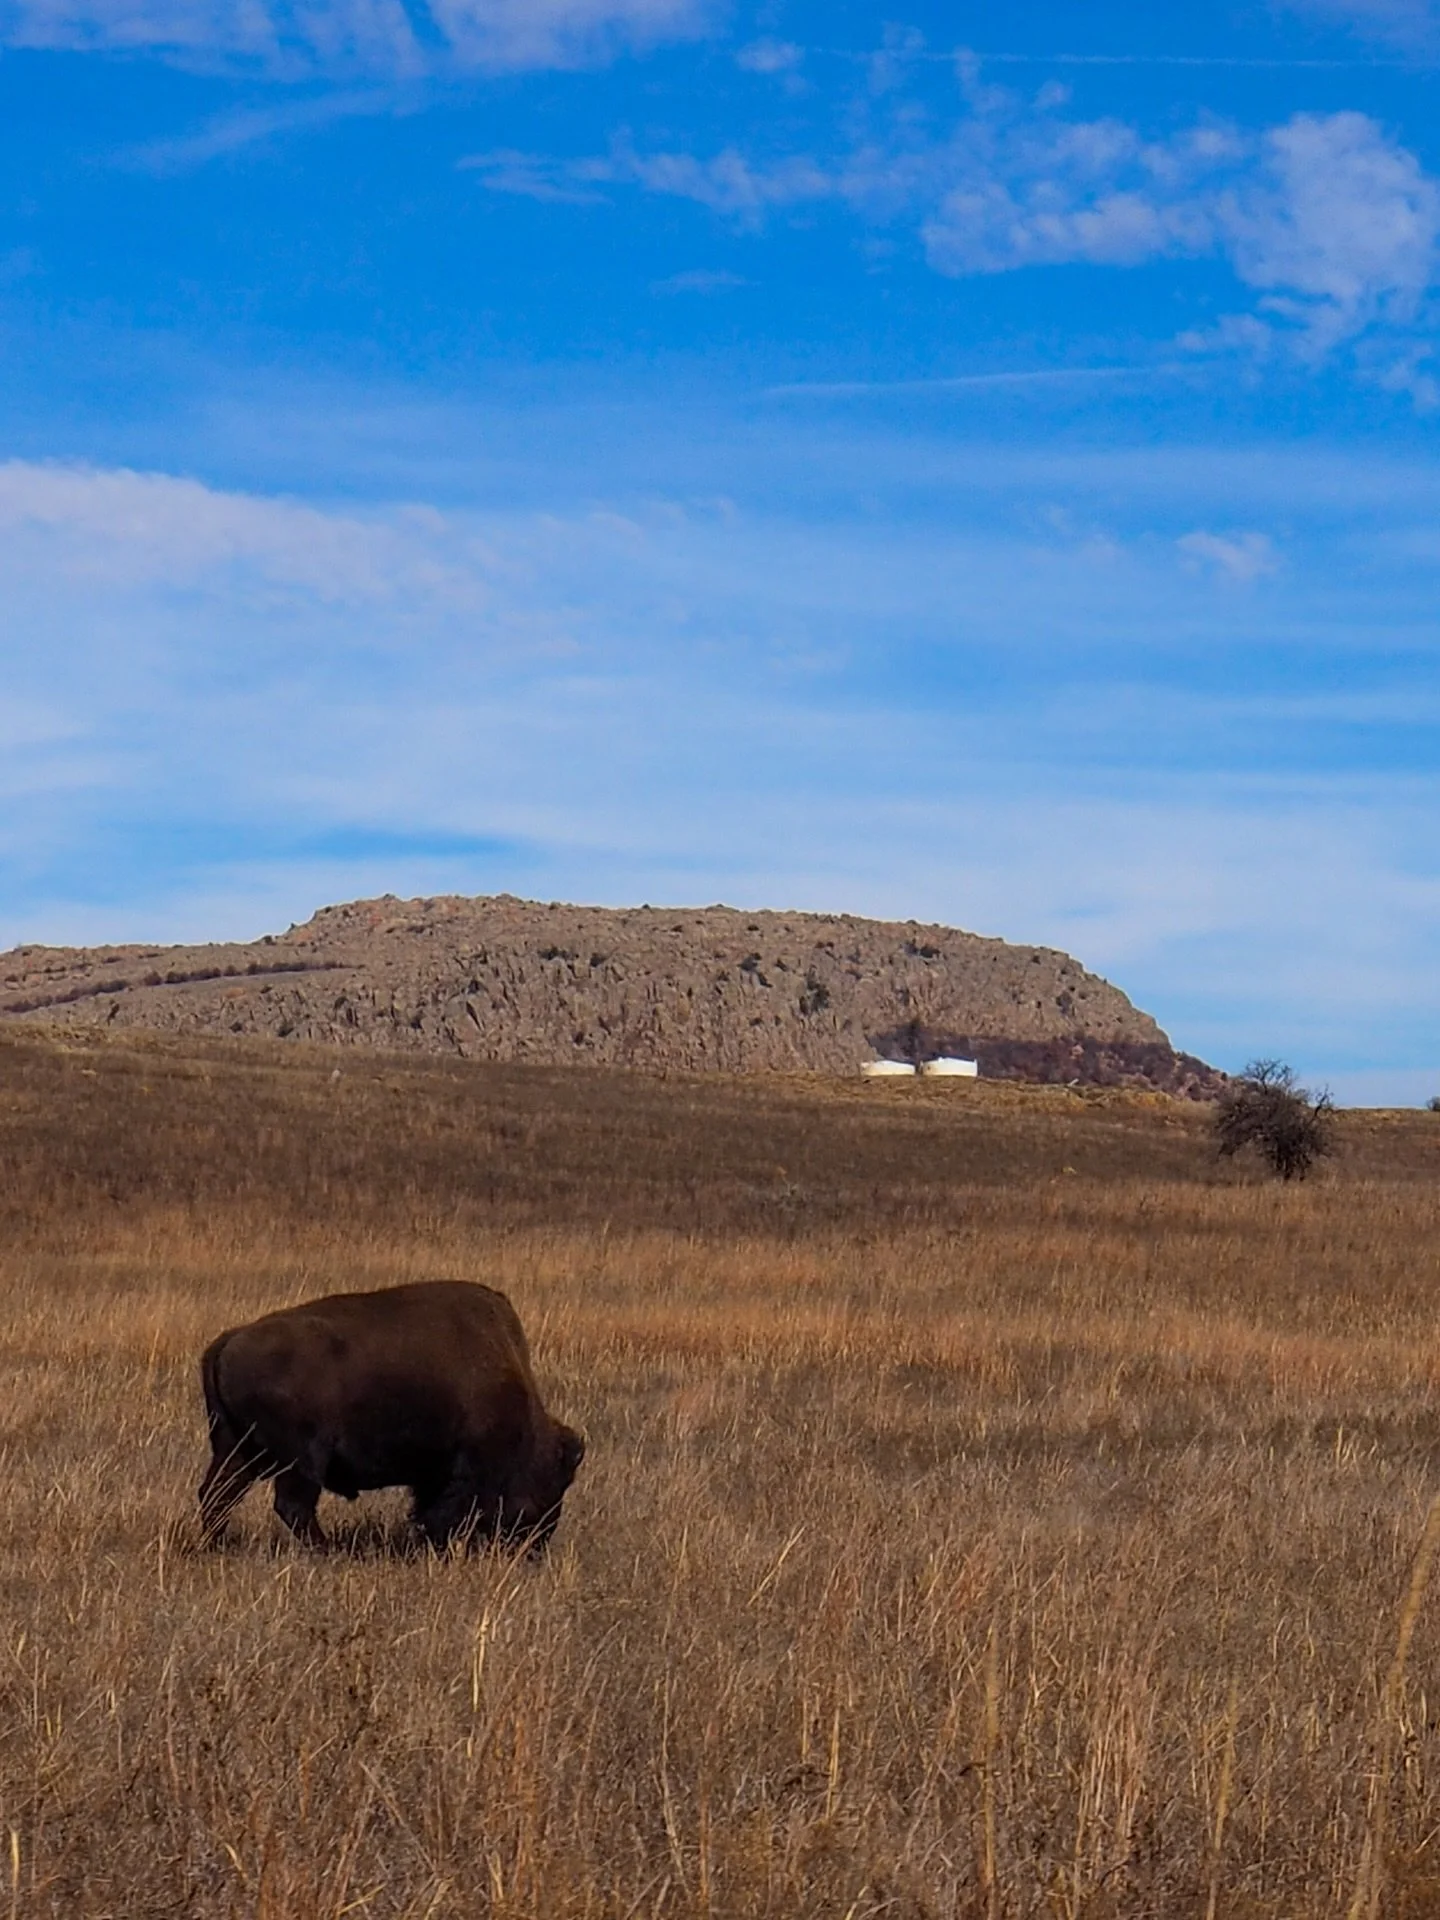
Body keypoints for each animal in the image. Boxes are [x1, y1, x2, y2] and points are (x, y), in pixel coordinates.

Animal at [199, 1280, 584, 1553]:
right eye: (553, 1481)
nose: (536, 1545)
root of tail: (229, 1341)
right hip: (300, 1459)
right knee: (291, 1505)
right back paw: (328, 1551)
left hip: (235, 1448)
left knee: (218, 1494)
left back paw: (219, 1545)